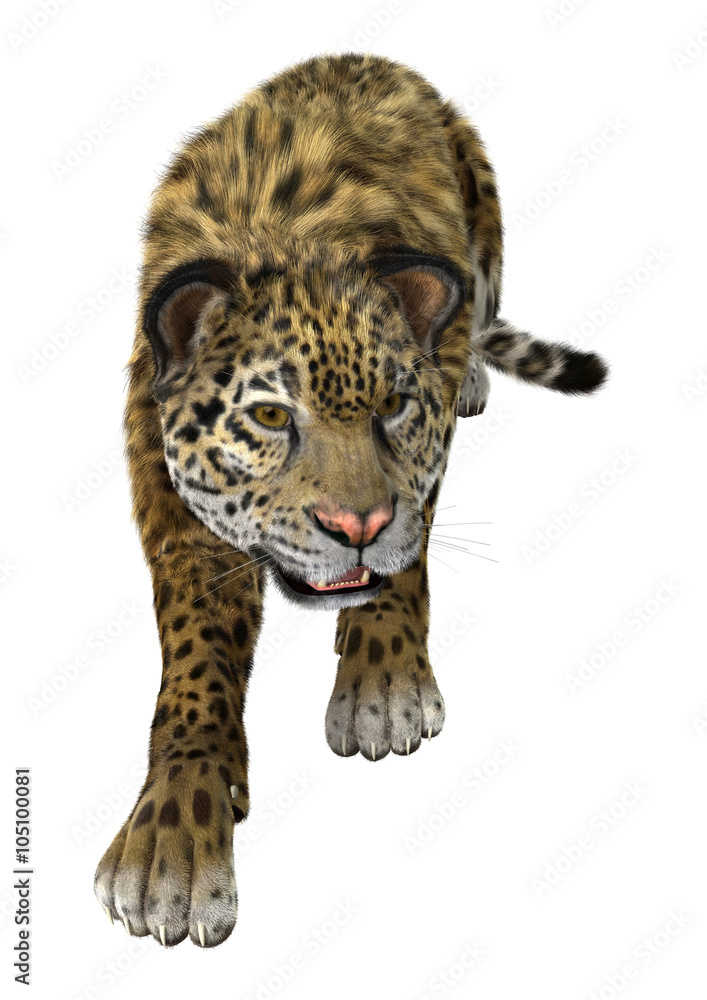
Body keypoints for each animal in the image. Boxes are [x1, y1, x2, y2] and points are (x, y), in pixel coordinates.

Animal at [94, 52, 608, 949]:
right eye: (270, 416)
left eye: (394, 406)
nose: (355, 526)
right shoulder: (175, 510)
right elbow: (195, 660)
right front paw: (173, 846)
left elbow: (407, 551)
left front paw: (383, 689)